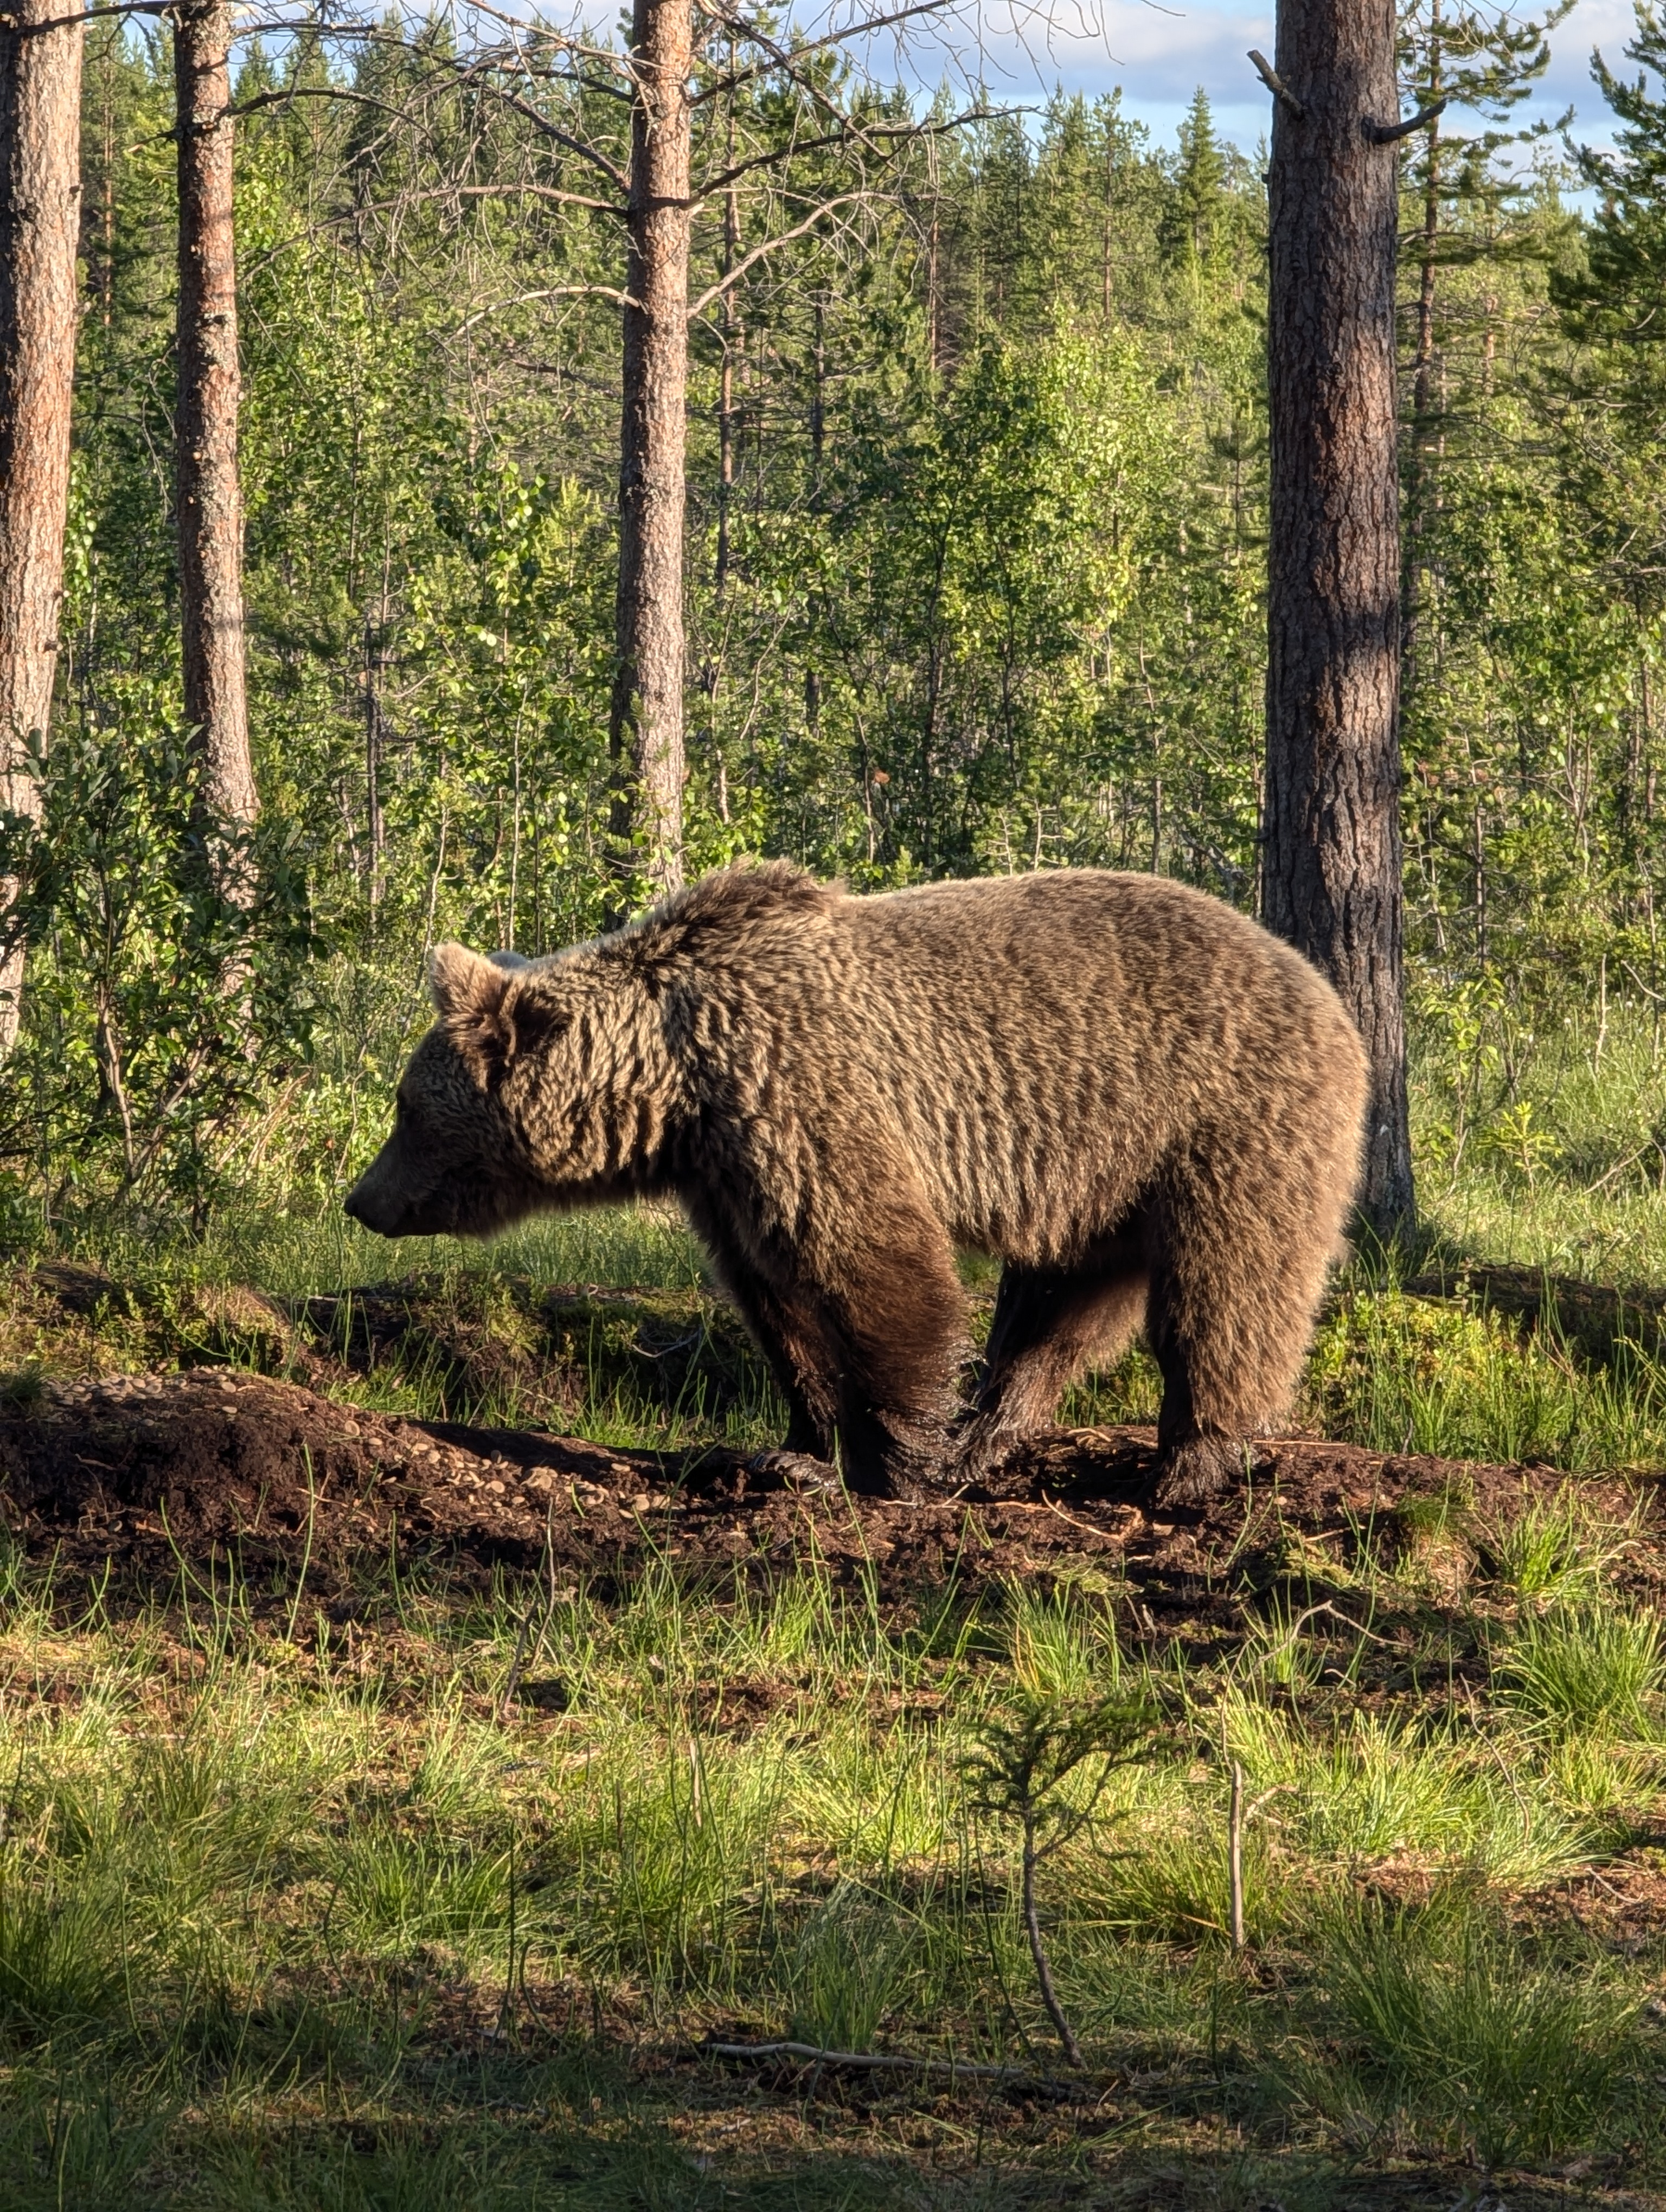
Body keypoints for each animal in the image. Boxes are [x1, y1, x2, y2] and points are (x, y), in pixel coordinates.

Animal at [343, 863, 1368, 1506]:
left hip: (1226, 1123)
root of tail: (1325, 990)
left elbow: (876, 1270)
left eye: (404, 1105)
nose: (361, 1199)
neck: (680, 1083)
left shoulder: (806, 1099)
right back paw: (985, 1438)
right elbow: (777, 1305)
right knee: (1057, 1309)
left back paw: (1191, 1464)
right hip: (1103, 1179)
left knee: (1227, 1285)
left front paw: (893, 1464)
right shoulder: (729, 1174)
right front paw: (792, 1452)